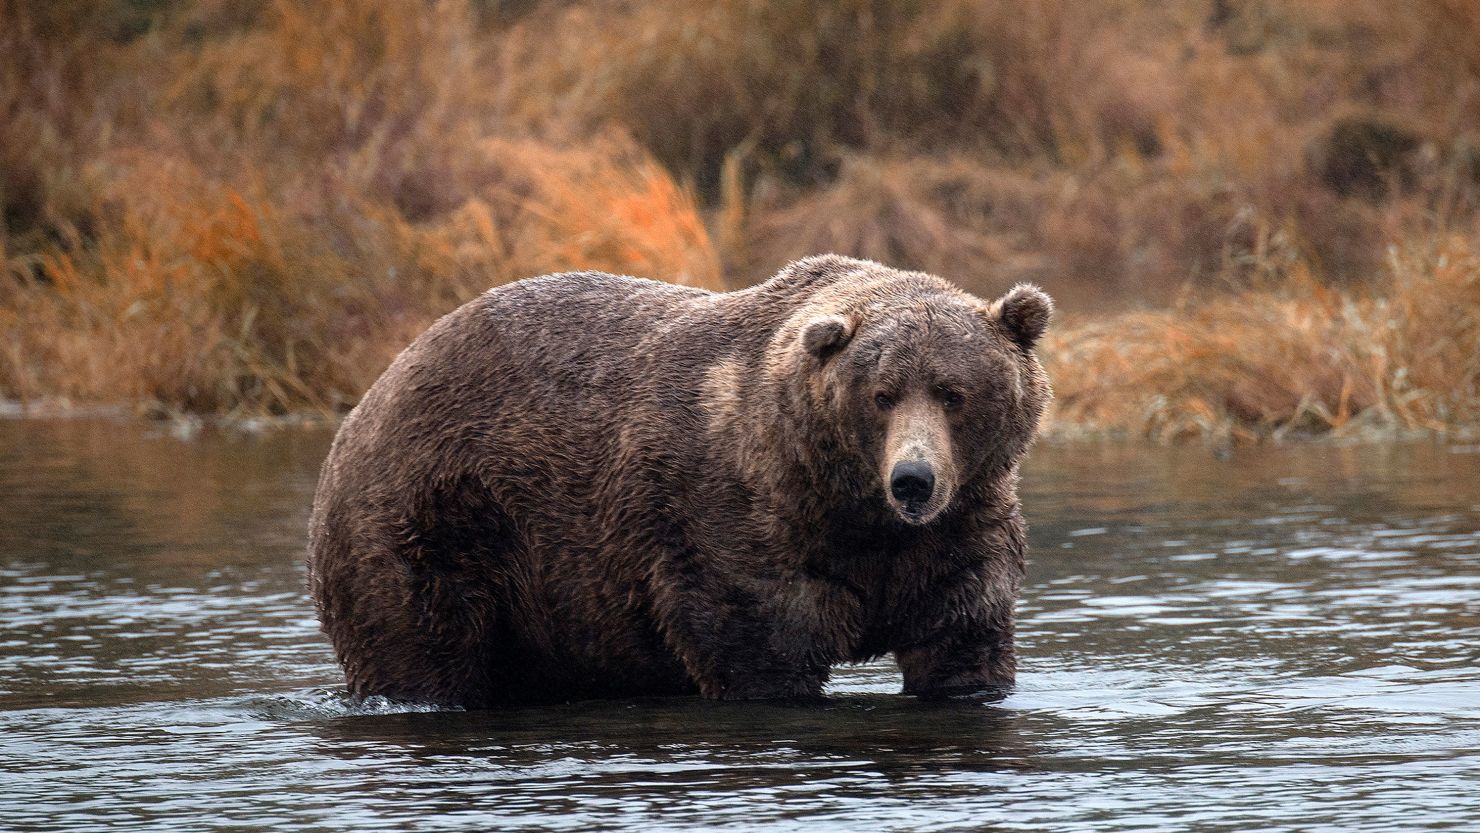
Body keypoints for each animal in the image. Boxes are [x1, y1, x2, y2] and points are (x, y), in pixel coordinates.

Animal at [309, 253, 1053, 704]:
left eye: (953, 393)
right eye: (882, 394)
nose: (913, 480)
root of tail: (369, 398)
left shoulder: (957, 532)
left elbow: (961, 636)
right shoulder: (735, 525)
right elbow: (761, 647)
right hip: (436, 520)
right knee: (421, 643)